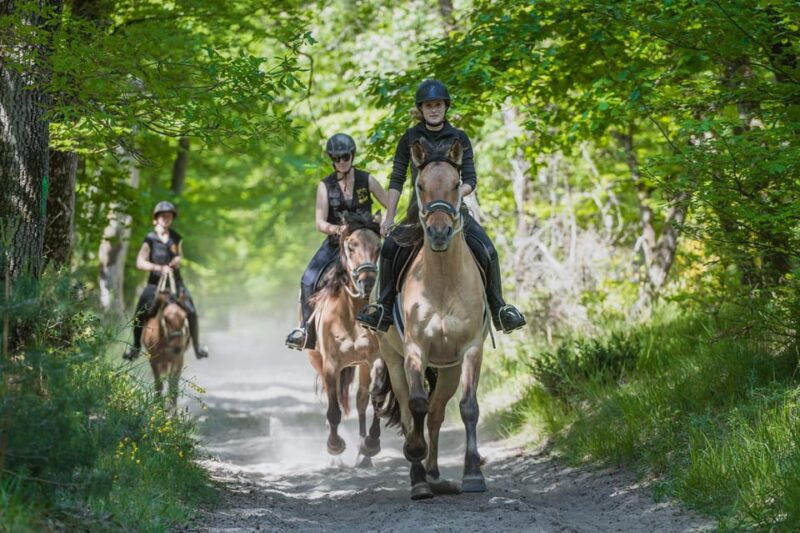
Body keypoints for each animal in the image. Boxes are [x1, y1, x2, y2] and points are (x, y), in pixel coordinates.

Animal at [142, 272, 190, 410]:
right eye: (166, 318)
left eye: (185, 317)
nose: (177, 347)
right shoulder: (153, 359)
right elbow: (159, 384)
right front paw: (157, 407)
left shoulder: (178, 359)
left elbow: (173, 386)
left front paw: (172, 411)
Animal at [306, 211, 383, 466]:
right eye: (351, 247)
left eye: (379, 247)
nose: (367, 281)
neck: (351, 313)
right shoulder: (331, 365)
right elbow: (333, 410)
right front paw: (335, 447)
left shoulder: (375, 360)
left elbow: (375, 399)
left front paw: (371, 444)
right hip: (318, 362)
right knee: (332, 403)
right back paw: (336, 460)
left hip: (361, 366)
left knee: (360, 401)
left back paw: (363, 455)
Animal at [372, 137, 489, 500]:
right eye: (420, 185)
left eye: (455, 184)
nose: (439, 233)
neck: (442, 281)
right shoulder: (415, 350)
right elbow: (416, 406)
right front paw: (414, 456)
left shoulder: (470, 349)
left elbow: (468, 407)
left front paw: (473, 474)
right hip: (393, 359)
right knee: (411, 410)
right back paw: (420, 478)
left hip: (448, 368)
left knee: (437, 414)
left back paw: (436, 475)